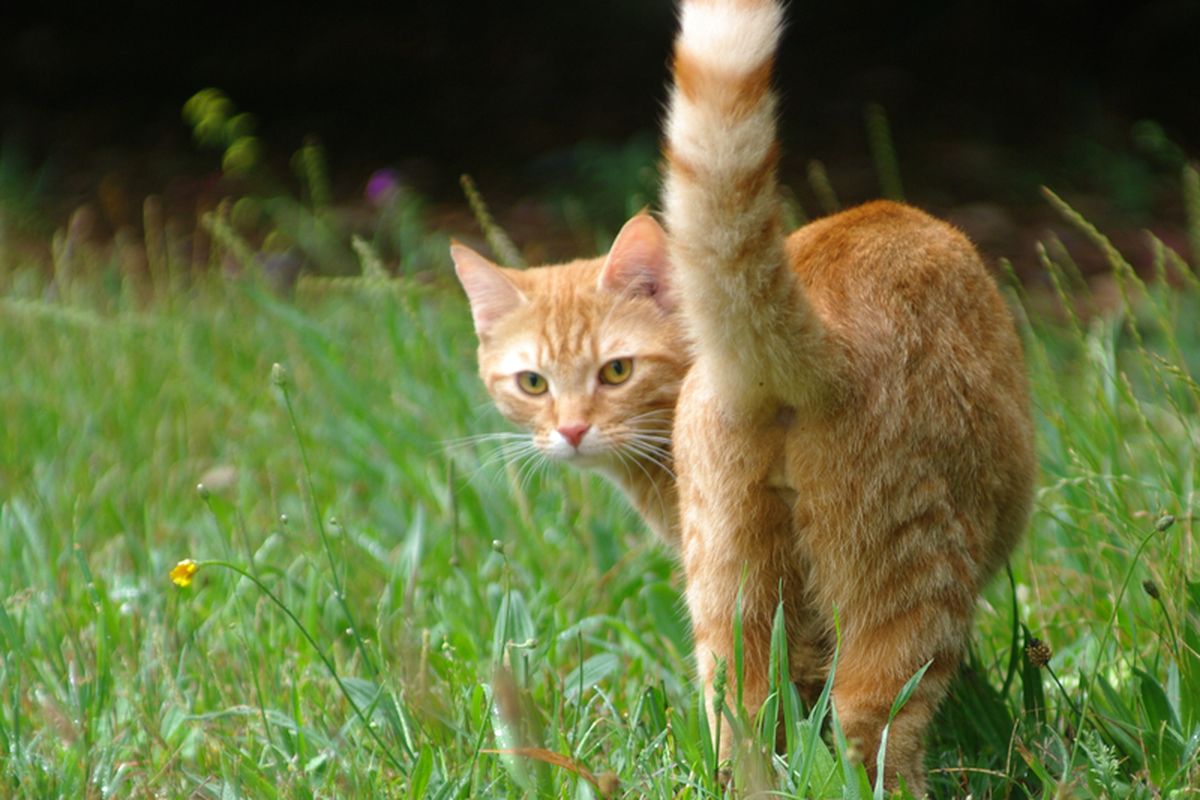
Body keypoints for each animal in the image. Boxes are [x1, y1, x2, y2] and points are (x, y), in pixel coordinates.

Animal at [453, 0, 1036, 786]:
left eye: (615, 372)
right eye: (533, 383)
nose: (571, 431)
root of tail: (818, 329)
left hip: (734, 586)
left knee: (743, 716)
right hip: (908, 574)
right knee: (869, 718)